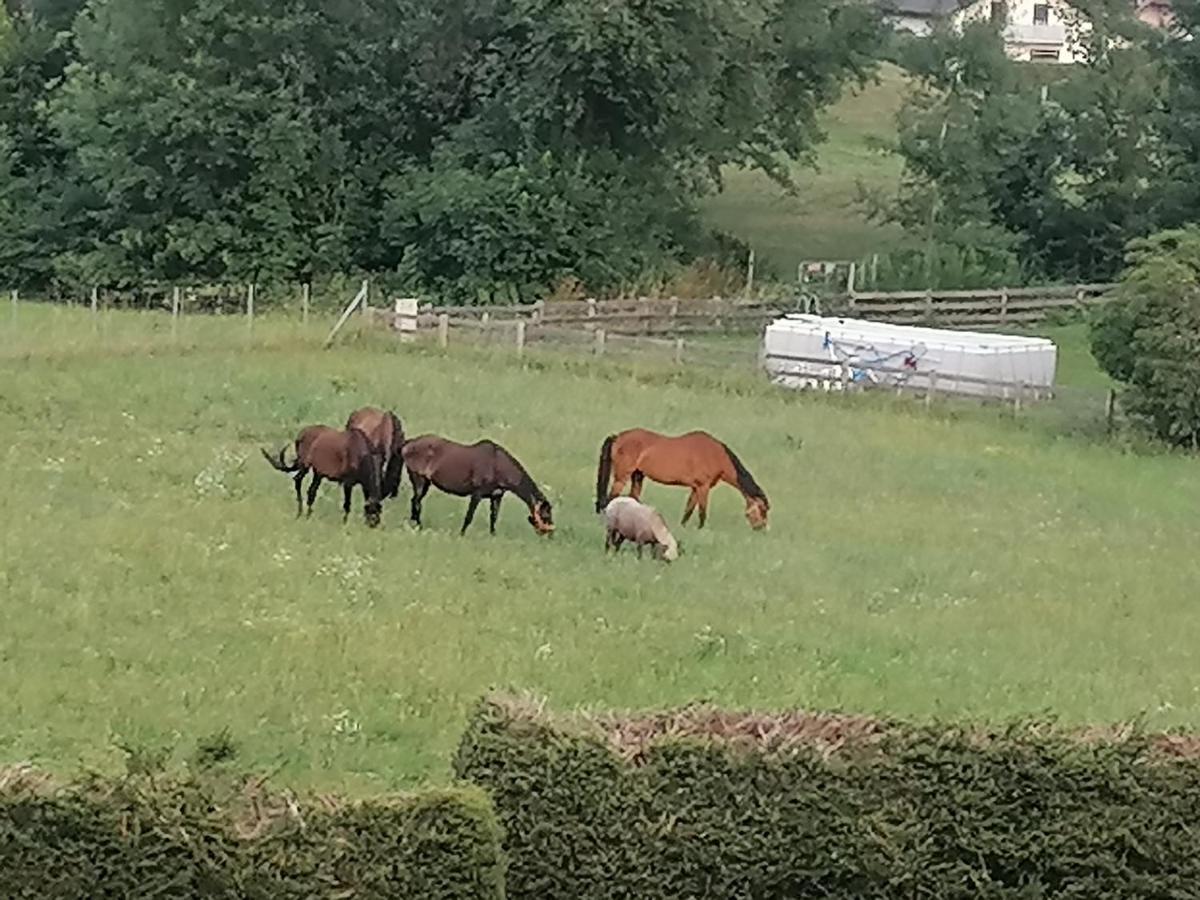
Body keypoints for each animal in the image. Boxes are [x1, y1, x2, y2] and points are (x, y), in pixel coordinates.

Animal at [400, 434, 554, 535]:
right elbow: (469, 516)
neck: (497, 465)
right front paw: (461, 534)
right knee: (416, 502)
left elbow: (494, 517)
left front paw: (493, 535)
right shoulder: (477, 494)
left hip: (426, 483)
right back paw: (419, 526)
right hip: (419, 481)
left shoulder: (496, 496)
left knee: (415, 501)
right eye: (546, 515)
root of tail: (407, 444)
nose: (549, 534)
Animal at [597, 427, 768, 528]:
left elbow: (688, 509)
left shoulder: (696, 488)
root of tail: (618, 437)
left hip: (638, 476)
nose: (761, 529)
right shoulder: (703, 487)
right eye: (762, 510)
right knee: (610, 498)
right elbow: (702, 512)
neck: (716, 456)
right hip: (622, 477)